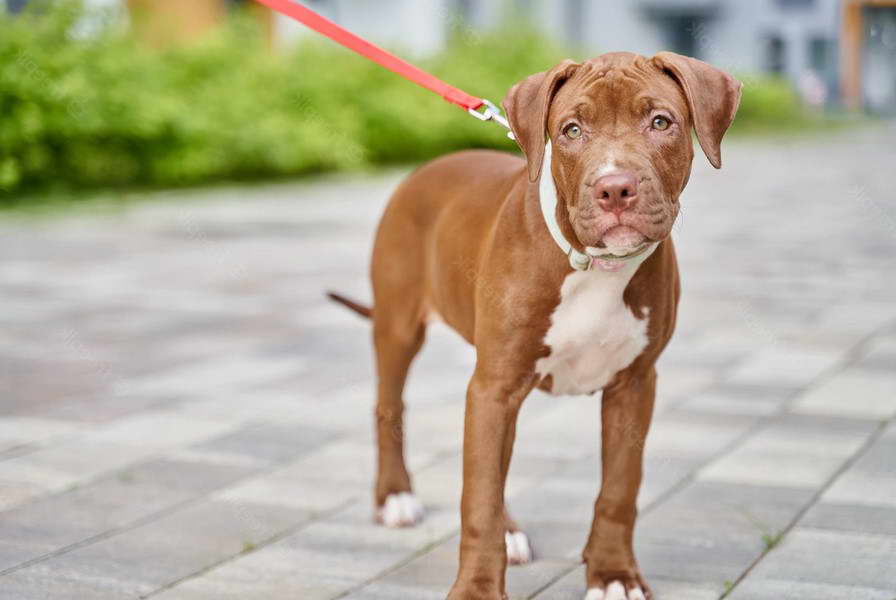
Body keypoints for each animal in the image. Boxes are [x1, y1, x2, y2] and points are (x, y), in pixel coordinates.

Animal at [328, 51, 744, 600]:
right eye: (571, 130)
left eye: (660, 122)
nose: (615, 188)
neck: (594, 265)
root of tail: (429, 167)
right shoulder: (497, 385)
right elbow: (478, 498)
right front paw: (477, 589)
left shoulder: (634, 384)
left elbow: (619, 487)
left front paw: (613, 574)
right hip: (400, 327)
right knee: (392, 409)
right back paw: (396, 496)